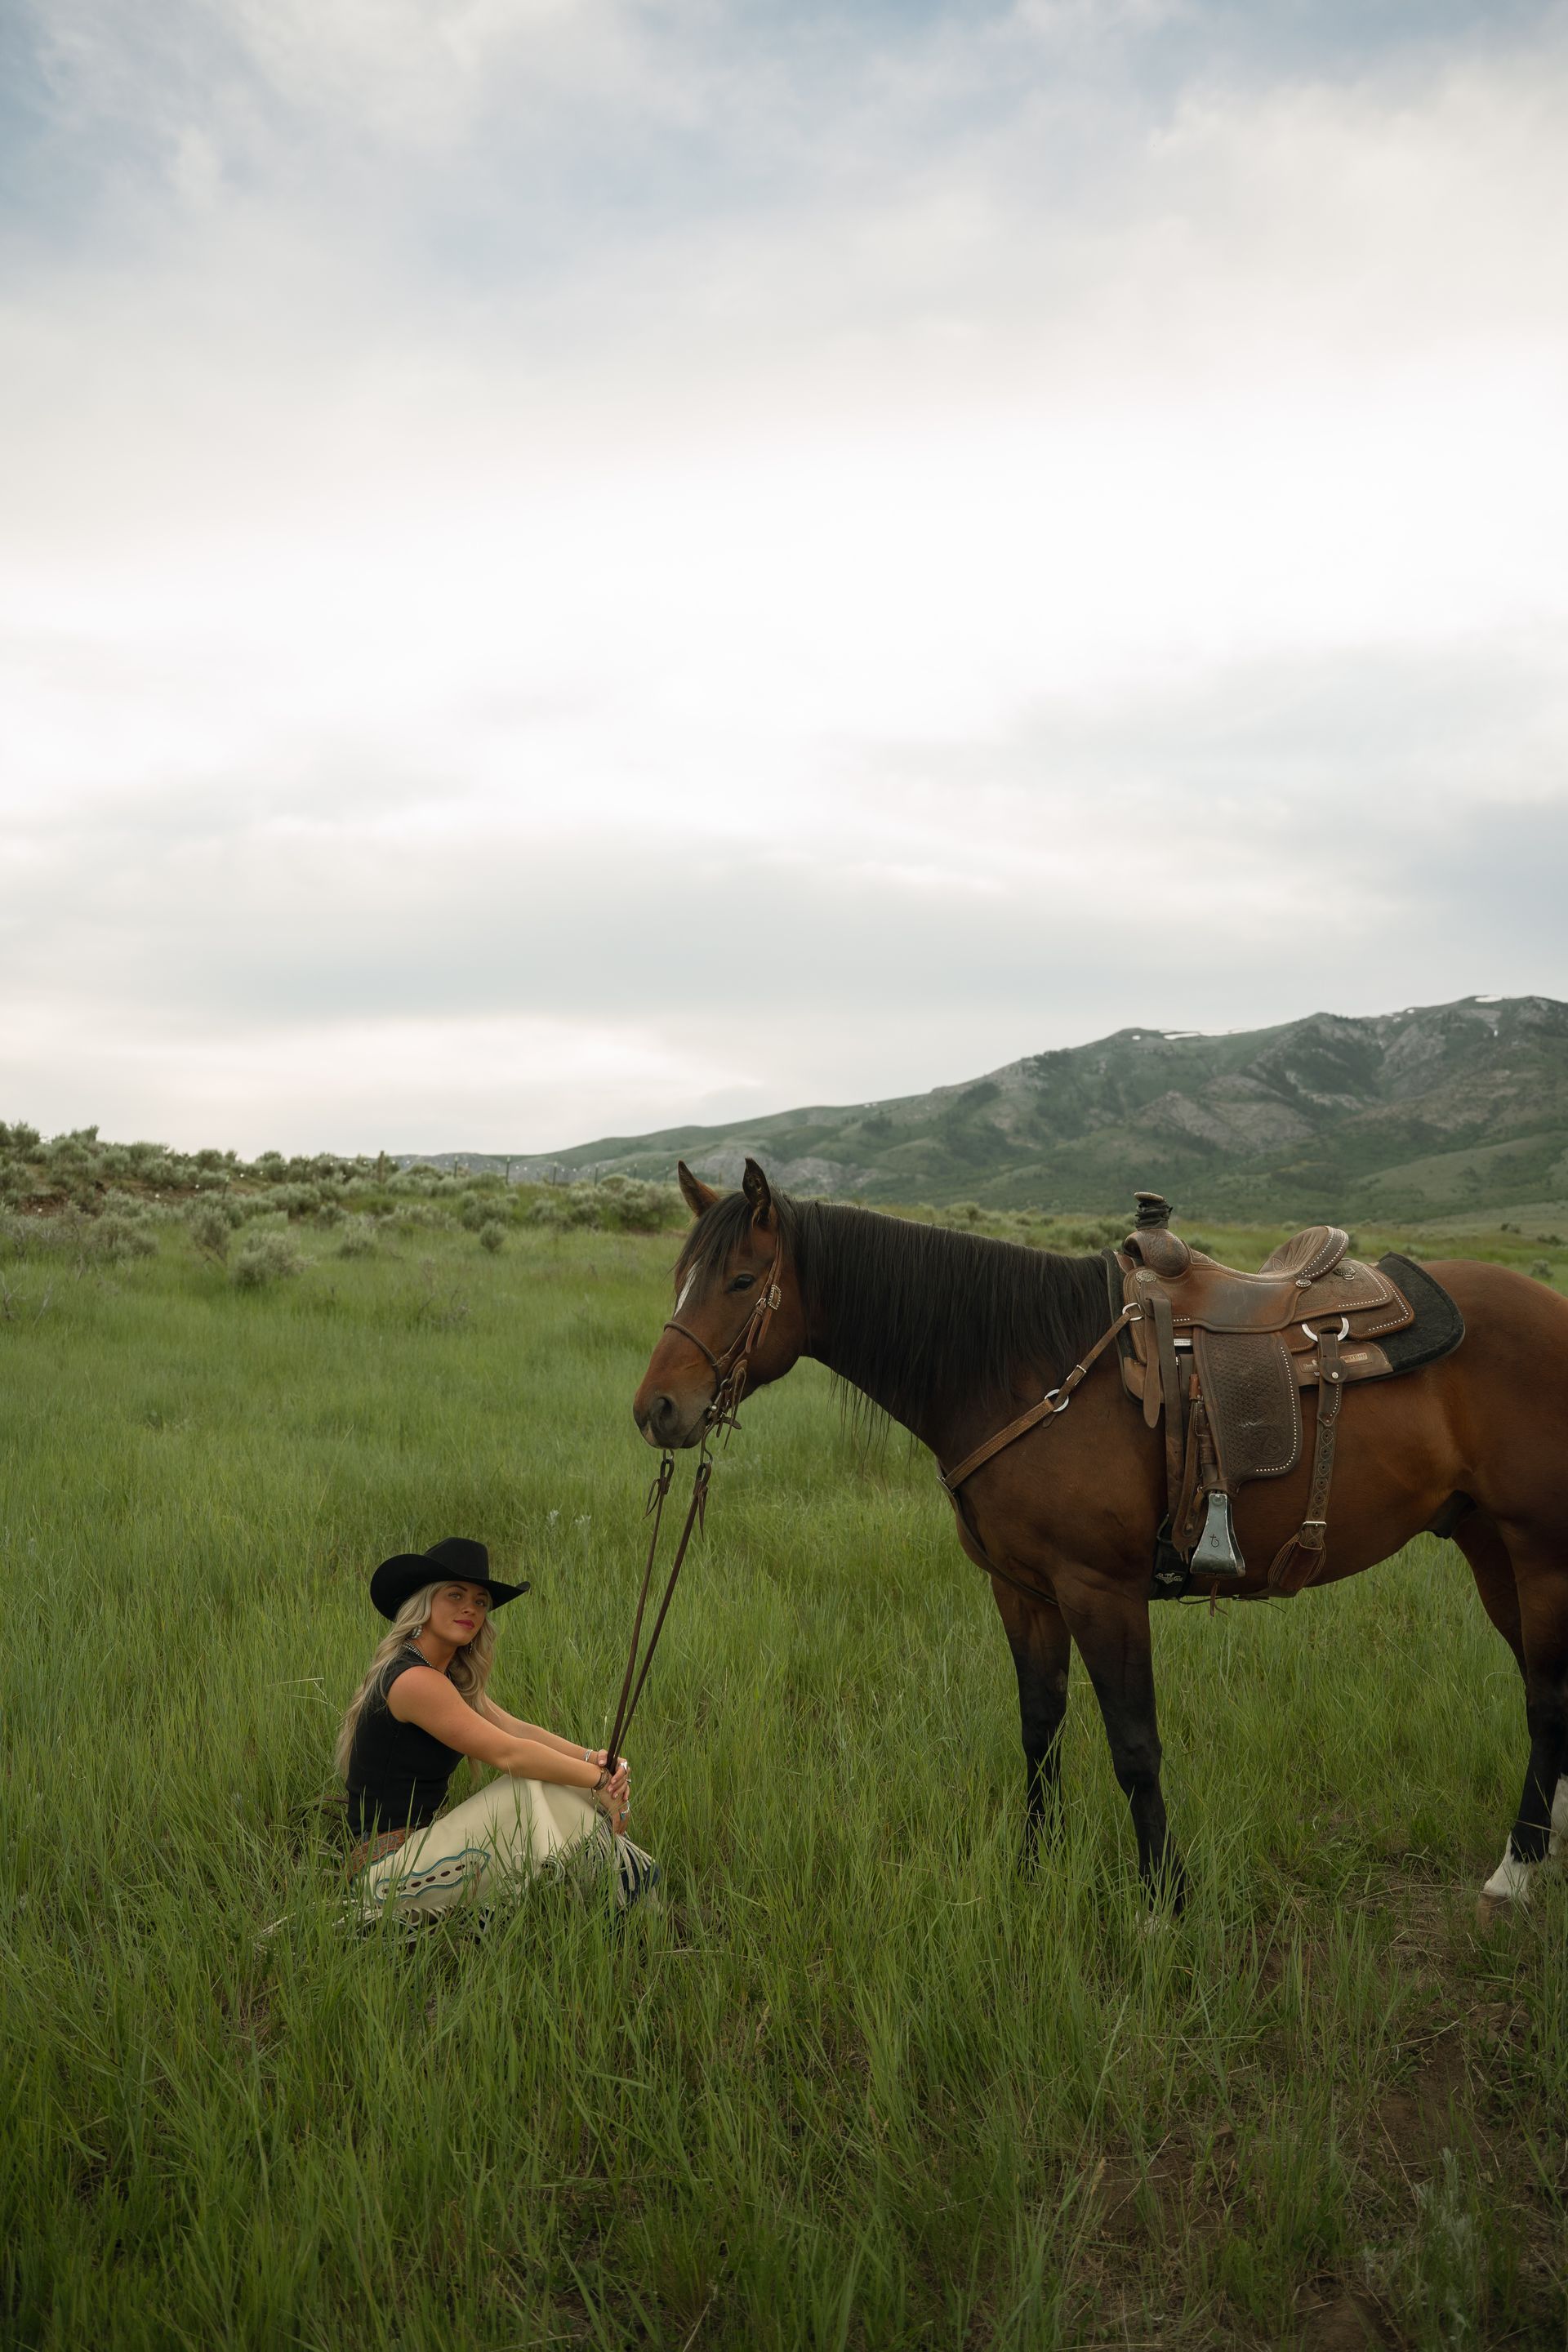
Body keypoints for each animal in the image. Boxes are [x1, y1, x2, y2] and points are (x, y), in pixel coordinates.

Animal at [631, 1158, 1568, 1917]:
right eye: (676, 1277)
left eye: (741, 1280)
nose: (657, 1411)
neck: (1020, 1367)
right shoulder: (1023, 1589)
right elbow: (1040, 1729)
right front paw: (1033, 1869)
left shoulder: (1101, 1591)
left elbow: (1134, 1745)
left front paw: (1164, 1901)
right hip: (1489, 1547)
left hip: (1539, 1552)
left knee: (1547, 1698)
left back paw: (1515, 1873)